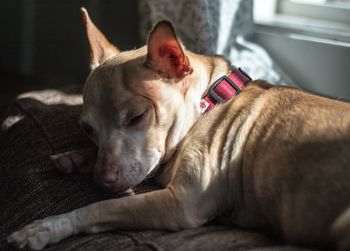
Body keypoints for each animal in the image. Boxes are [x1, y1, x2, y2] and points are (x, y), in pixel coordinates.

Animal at [7, 6, 350, 250]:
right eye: (88, 130)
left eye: (136, 117)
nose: (102, 180)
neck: (207, 102)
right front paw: (74, 157)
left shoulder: (180, 204)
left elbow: (100, 208)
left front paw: (48, 227)